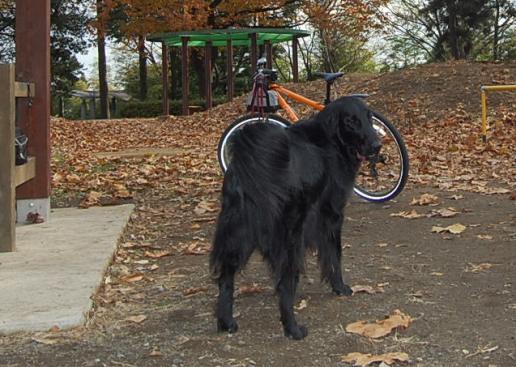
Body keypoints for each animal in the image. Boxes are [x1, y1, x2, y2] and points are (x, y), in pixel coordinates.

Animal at [211, 96, 382, 340]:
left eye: (369, 117)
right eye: (350, 121)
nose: (377, 146)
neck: (330, 140)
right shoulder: (331, 214)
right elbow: (334, 255)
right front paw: (339, 287)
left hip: (238, 233)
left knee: (226, 277)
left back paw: (226, 322)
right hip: (290, 237)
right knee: (285, 283)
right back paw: (293, 328)